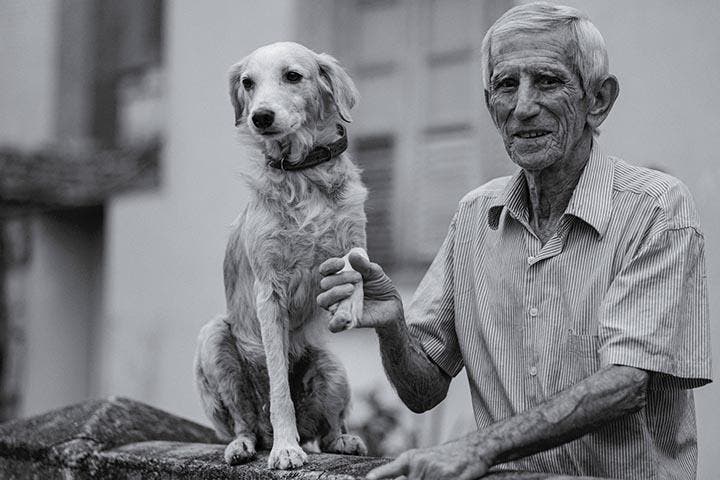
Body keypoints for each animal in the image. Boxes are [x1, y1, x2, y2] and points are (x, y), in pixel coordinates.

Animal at [193, 43, 368, 470]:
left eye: (292, 76)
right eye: (247, 82)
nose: (261, 117)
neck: (303, 172)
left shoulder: (355, 241)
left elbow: (357, 271)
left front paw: (349, 306)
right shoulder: (269, 292)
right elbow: (279, 390)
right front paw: (286, 449)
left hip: (331, 367)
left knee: (328, 429)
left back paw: (342, 439)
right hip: (213, 340)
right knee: (246, 422)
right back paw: (247, 445)